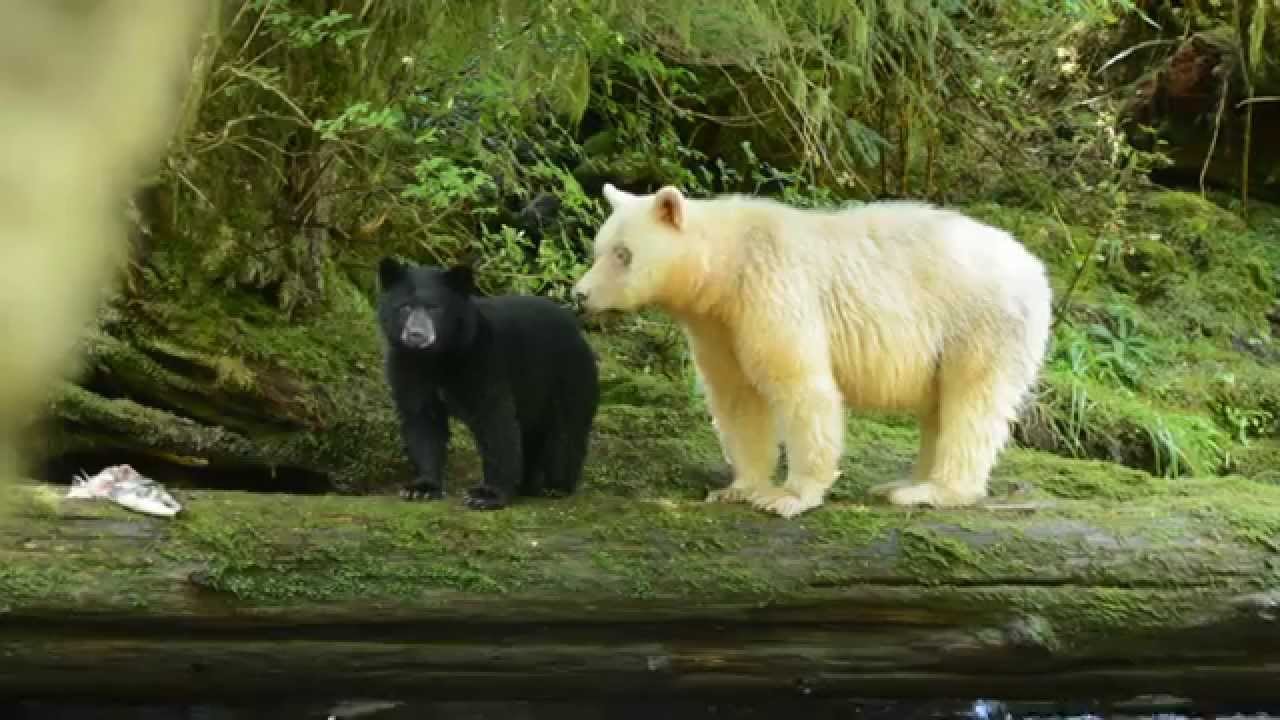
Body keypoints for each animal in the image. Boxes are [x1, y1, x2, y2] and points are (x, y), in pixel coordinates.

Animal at [377, 258, 600, 510]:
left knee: (565, 433)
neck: (438, 356)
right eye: (404, 307)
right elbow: (422, 419)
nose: (416, 335)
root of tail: (577, 330)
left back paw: (555, 485)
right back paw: (526, 484)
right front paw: (421, 488)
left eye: (434, 308)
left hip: (566, 377)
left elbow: (494, 420)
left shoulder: (484, 359)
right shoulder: (407, 365)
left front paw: (486, 495)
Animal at [572, 184, 1051, 518]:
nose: (580, 294)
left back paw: (931, 491)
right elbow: (736, 397)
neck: (729, 266)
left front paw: (788, 496)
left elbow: (800, 385)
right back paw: (900, 483)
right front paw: (737, 487)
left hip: (981, 323)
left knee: (971, 402)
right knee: (940, 407)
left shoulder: (773, 290)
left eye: (623, 253)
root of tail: (1037, 270)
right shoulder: (719, 325)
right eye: (598, 248)